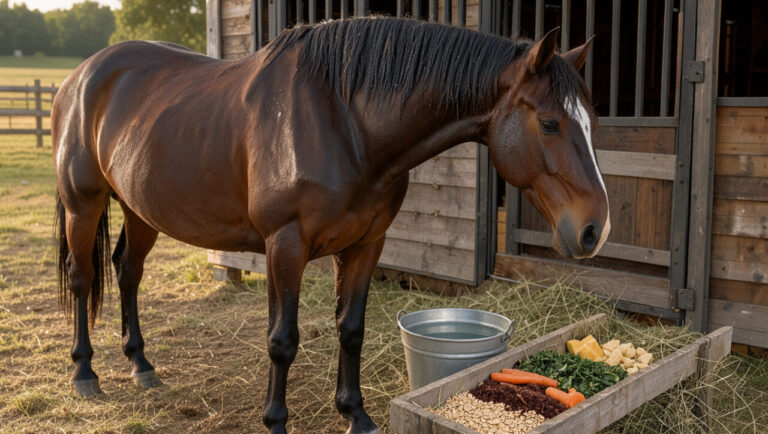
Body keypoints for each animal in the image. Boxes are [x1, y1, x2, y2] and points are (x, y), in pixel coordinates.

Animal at [52, 17, 608, 433]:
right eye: (551, 122)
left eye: (592, 121)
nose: (594, 230)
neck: (344, 122)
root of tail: (80, 78)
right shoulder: (286, 245)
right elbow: (282, 339)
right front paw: (276, 420)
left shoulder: (365, 245)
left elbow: (351, 330)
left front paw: (355, 414)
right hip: (84, 203)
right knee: (83, 279)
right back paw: (84, 372)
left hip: (139, 207)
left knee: (128, 272)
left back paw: (141, 365)